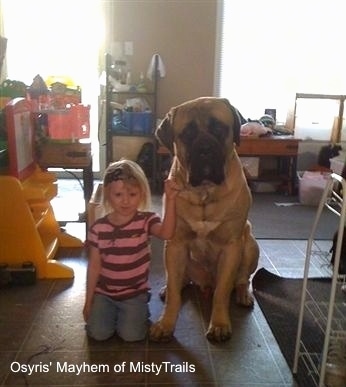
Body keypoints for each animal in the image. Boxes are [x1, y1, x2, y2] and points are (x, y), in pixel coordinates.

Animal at [149, 96, 260, 342]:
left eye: (219, 128)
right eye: (187, 134)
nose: (205, 149)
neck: (204, 193)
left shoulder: (231, 247)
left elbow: (222, 291)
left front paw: (219, 324)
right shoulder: (175, 244)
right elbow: (174, 294)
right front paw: (165, 324)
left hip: (250, 244)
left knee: (242, 279)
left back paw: (243, 294)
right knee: (176, 281)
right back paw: (170, 288)